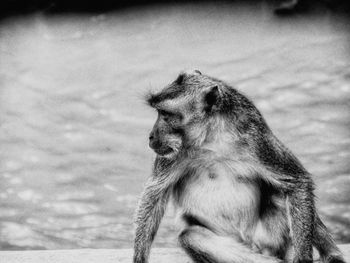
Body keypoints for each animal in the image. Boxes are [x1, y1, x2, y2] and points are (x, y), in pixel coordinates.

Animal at [133, 70, 344, 263]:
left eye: (165, 114)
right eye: (160, 112)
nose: (151, 136)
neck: (212, 139)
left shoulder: (257, 138)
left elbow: (297, 181)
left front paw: (305, 257)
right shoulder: (172, 153)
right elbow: (156, 193)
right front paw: (139, 257)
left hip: (269, 238)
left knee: (282, 192)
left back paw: (331, 254)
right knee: (191, 236)